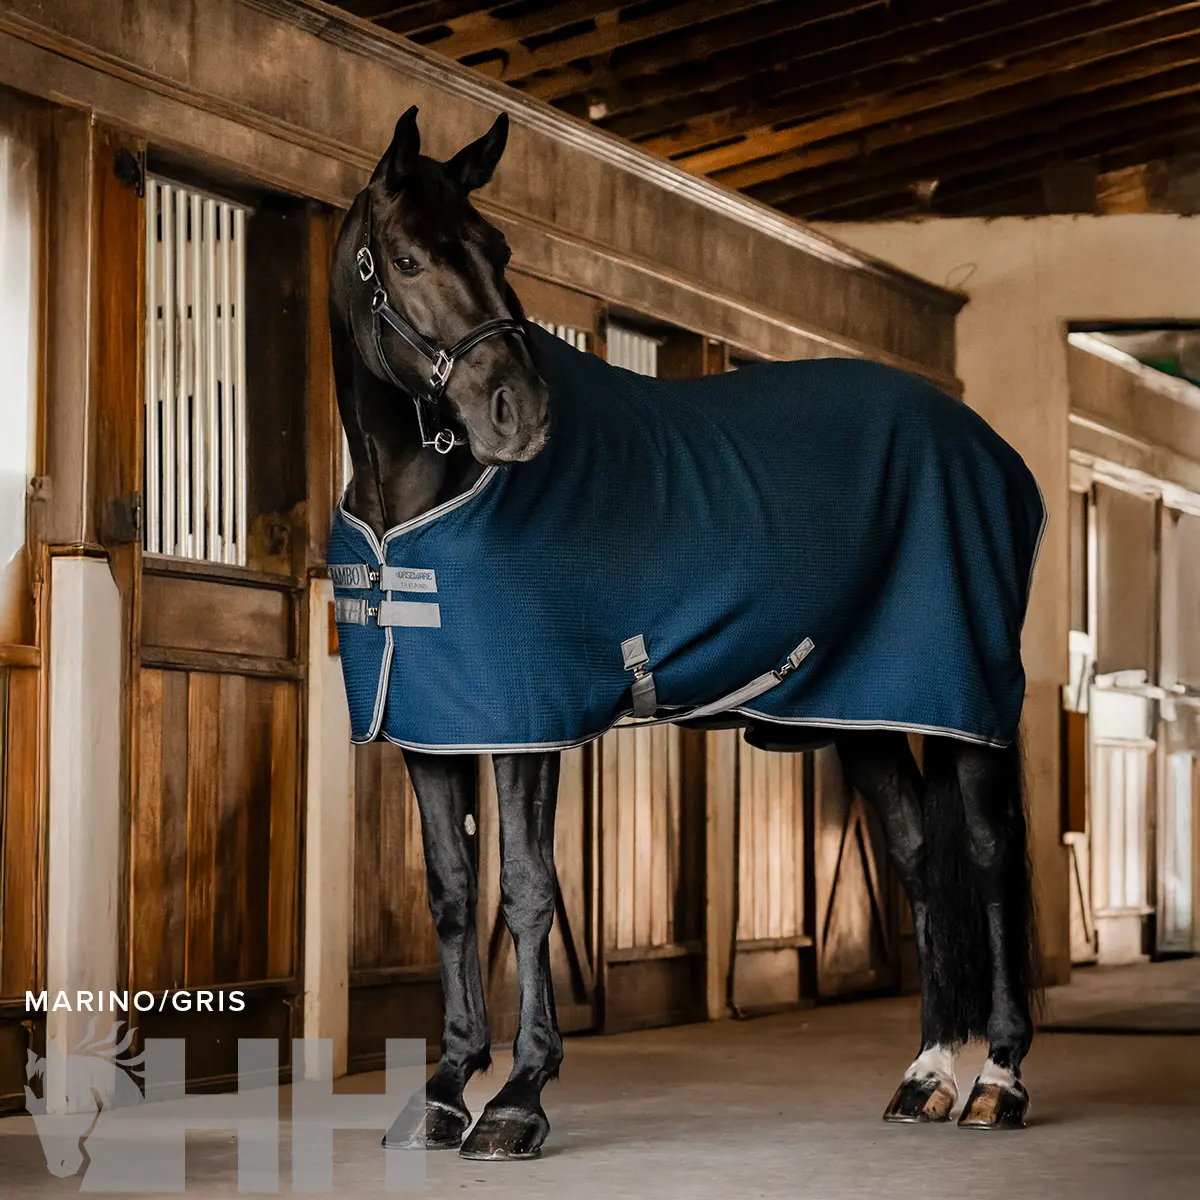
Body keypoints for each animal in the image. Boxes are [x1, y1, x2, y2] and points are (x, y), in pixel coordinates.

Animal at [328, 106, 1042, 1161]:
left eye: (499, 249)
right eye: (410, 259)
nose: (521, 415)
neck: (419, 501)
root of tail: (988, 448)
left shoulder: (526, 721)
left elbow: (529, 892)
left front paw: (517, 1098)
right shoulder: (434, 726)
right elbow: (453, 896)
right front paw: (449, 1088)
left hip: (965, 701)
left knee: (990, 862)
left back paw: (998, 1079)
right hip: (866, 712)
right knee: (919, 861)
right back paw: (926, 1076)